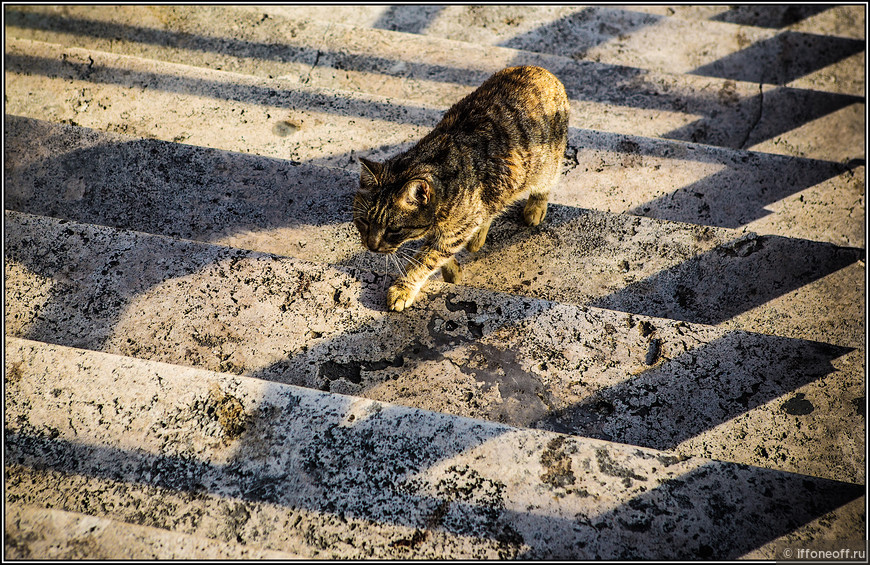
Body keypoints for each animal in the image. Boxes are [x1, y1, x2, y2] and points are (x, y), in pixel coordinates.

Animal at [354, 66, 572, 312]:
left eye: (394, 229)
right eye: (363, 221)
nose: (371, 246)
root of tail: (542, 71)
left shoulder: (454, 231)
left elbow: (425, 260)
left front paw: (403, 288)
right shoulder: (454, 229)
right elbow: (438, 254)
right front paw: (451, 269)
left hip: (545, 165)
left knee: (545, 184)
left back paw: (535, 208)